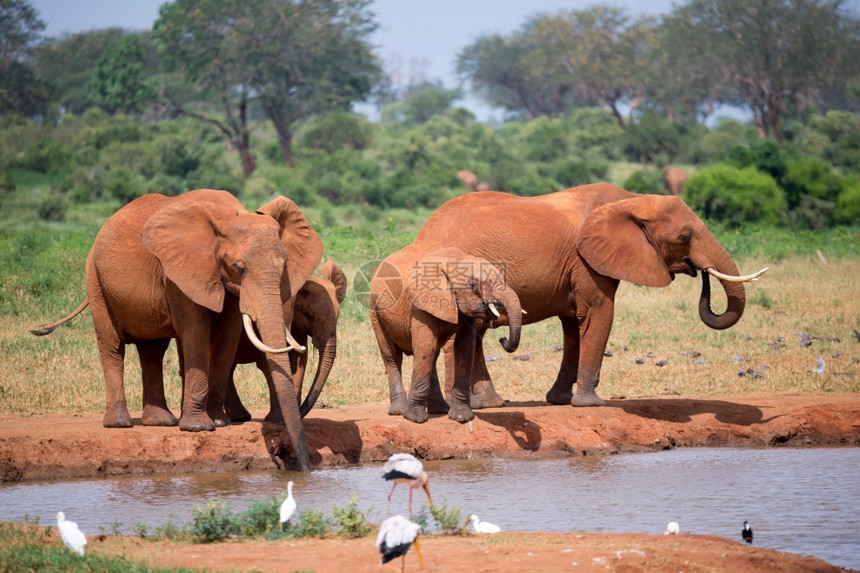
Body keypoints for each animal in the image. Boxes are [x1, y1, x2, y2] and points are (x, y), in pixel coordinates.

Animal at [31, 190, 322, 472]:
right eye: (240, 268)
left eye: (285, 265)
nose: (304, 468)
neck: (227, 217)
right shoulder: (180, 274)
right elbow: (196, 332)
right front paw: (199, 428)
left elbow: (227, 337)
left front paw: (220, 422)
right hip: (95, 280)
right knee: (112, 346)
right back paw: (120, 423)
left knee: (152, 350)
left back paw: (161, 422)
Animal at [227, 260, 352, 420]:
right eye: (309, 316)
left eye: (338, 318)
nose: (301, 412)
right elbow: (269, 362)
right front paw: (278, 419)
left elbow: (298, 360)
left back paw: (239, 417)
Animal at [370, 244, 524, 422]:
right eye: (473, 285)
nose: (502, 339)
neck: (455, 260)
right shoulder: (420, 304)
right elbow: (425, 347)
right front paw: (415, 419)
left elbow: (465, 348)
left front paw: (462, 417)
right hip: (375, 311)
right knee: (392, 356)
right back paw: (399, 411)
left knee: (432, 355)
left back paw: (440, 410)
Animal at [414, 183, 768, 406]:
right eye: (685, 237)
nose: (700, 272)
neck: (632, 199)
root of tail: (422, 233)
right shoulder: (587, 261)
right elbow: (599, 312)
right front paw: (591, 404)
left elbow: (573, 326)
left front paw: (559, 400)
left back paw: (485, 404)